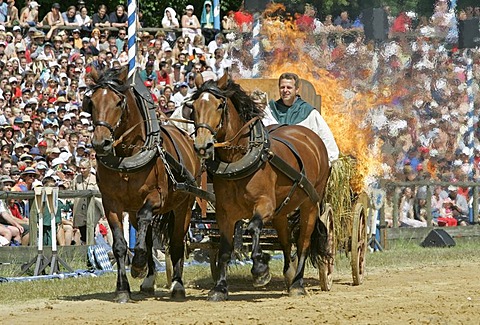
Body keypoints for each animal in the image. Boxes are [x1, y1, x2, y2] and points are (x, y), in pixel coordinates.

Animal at [85, 66, 200, 302]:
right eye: (91, 102)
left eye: (118, 102)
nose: (101, 143)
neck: (127, 154)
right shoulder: (112, 204)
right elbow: (120, 246)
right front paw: (123, 288)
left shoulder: (157, 198)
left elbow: (147, 215)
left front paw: (137, 264)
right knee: (146, 238)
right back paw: (148, 280)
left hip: (183, 206)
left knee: (176, 242)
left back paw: (177, 285)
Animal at [189, 74, 332, 300]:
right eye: (193, 107)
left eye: (220, 105)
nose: (203, 145)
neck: (238, 159)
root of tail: (311, 137)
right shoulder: (224, 213)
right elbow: (225, 249)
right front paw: (220, 288)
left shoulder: (265, 206)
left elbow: (253, 227)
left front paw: (260, 269)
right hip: (282, 210)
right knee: (285, 240)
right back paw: (289, 274)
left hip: (310, 203)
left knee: (303, 242)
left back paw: (298, 283)